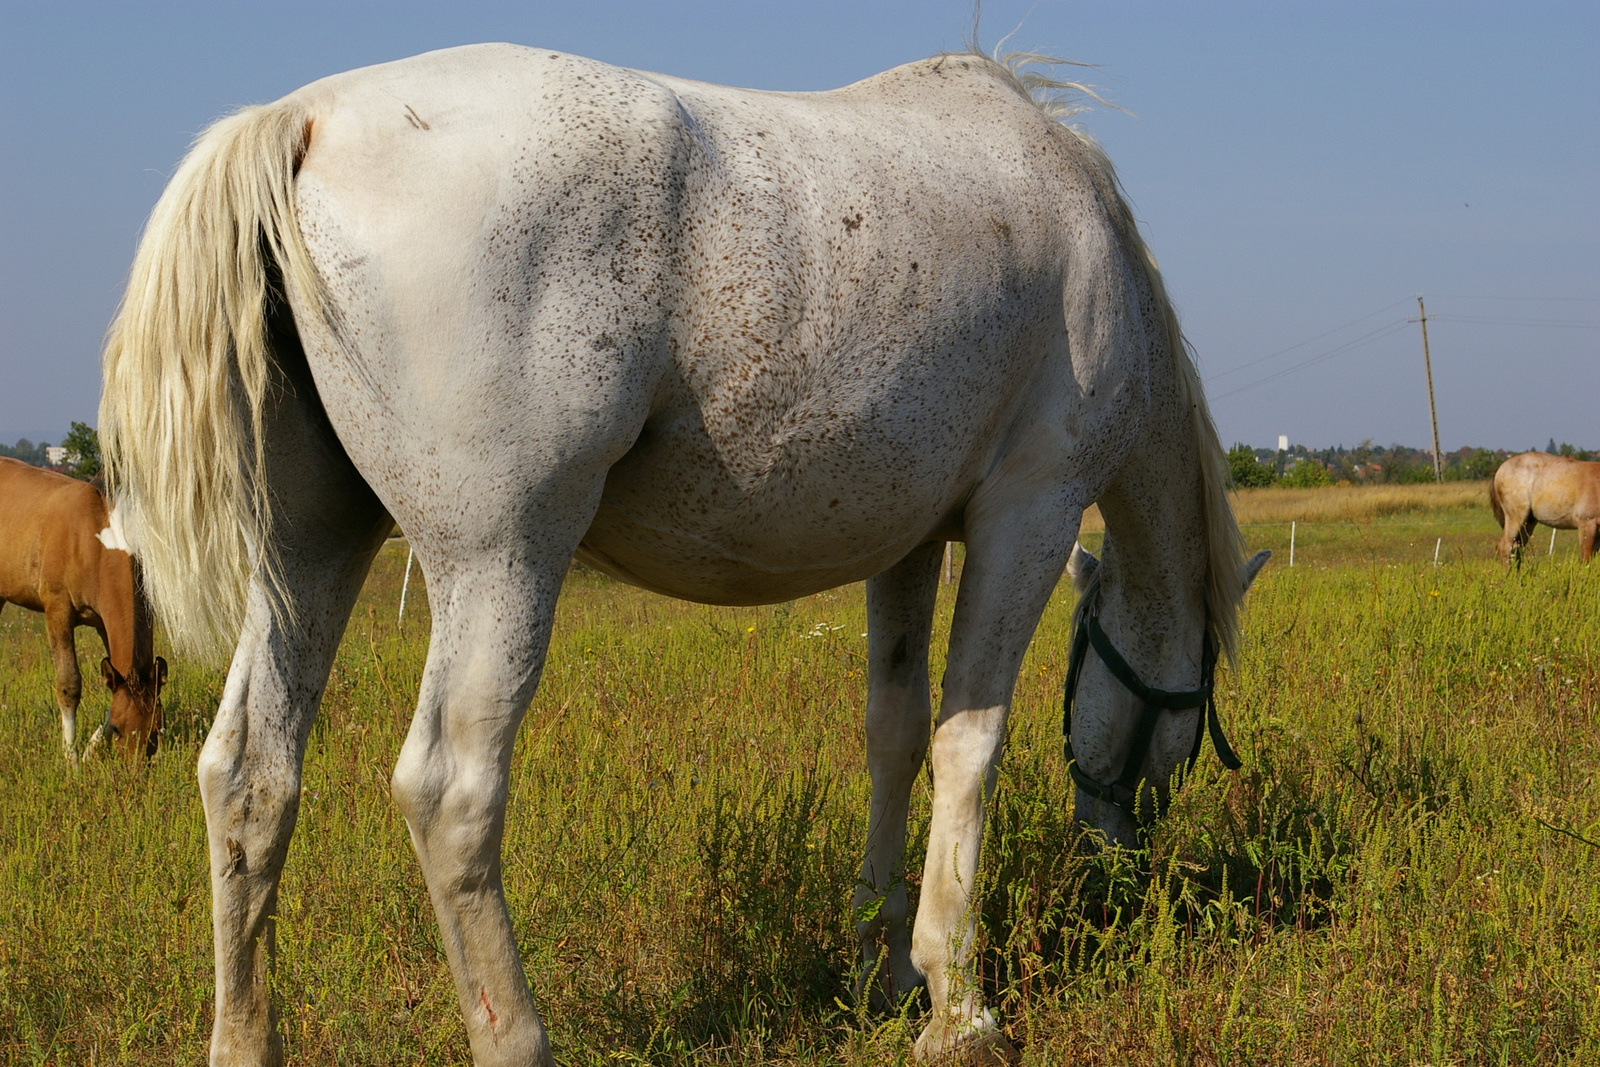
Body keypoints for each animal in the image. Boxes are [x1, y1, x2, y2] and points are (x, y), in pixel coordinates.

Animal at [0, 454, 165, 755]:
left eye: (155, 731)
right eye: (120, 730)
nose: (133, 767)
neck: (91, 542)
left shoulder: (104, 621)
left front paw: (91, 749)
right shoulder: (58, 610)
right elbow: (69, 684)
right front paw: (71, 757)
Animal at [103, 43, 1260, 1067]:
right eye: (1196, 700)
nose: (1121, 869)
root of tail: (305, 120)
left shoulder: (906, 543)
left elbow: (891, 733)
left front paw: (882, 966)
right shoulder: (1029, 514)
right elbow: (966, 742)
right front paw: (958, 1003)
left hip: (310, 552)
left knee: (249, 776)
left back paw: (244, 1039)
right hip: (499, 562)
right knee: (450, 791)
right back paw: (519, 1038)